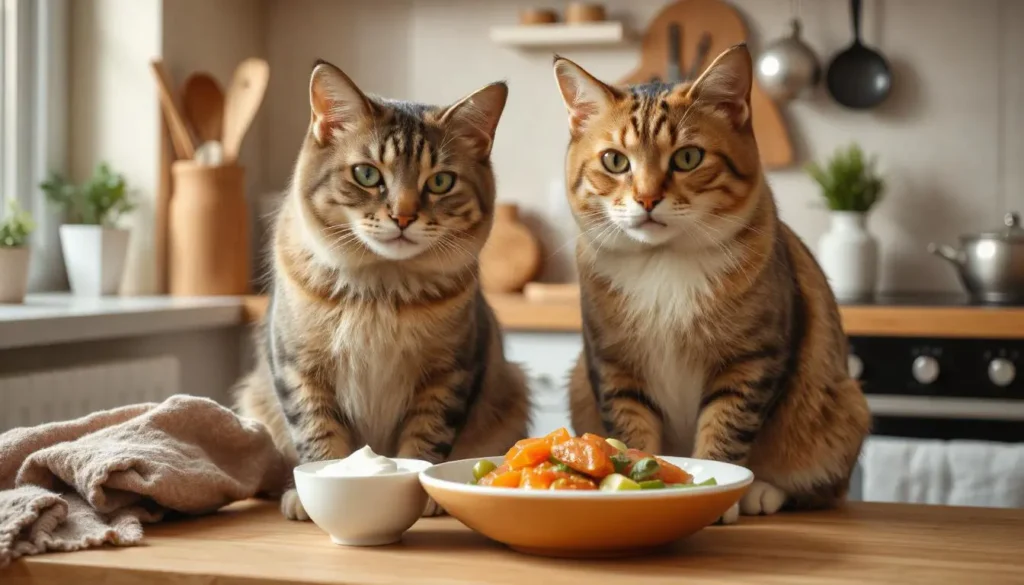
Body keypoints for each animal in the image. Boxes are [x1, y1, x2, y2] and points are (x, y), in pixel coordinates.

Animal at [235, 59, 532, 520]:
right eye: (367, 174)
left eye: (441, 182)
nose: (403, 216)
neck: (381, 291)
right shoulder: (299, 368)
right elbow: (318, 436)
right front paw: (313, 492)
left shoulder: (449, 373)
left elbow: (426, 440)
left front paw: (423, 494)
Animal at [552, 43, 872, 524]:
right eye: (615, 160)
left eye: (688, 158)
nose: (647, 198)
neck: (664, 263)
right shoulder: (614, 365)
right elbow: (631, 429)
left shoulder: (751, 359)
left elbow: (727, 425)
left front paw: (719, 491)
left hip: (841, 407)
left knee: (822, 485)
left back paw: (765, 491)